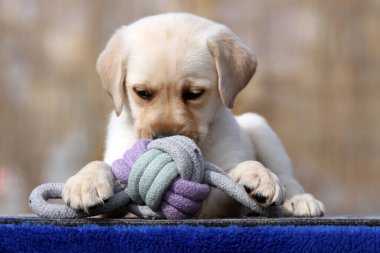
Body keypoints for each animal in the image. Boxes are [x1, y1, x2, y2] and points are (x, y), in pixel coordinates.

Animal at [62, 12, 324, 217]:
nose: (164, 138)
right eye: (142, 93)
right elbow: (101, 167)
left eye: (194, 93)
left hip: (259, 126)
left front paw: (259, 175)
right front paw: (85, 182)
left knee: (286, 175)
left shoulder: (220, 193)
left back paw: (299, 200)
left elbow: (236, 172)